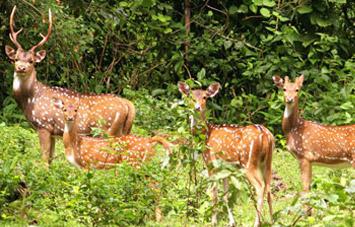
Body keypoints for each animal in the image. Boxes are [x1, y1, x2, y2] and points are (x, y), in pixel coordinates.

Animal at [5, 5, 136, 165]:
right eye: (16, 59)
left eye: (32, 61)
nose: (21, 68)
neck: (30, 99)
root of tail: (128, 105)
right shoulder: (54, 132)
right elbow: (50, 159)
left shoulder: (44, 125)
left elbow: (44, 159)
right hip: (123, 131)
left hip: (108, 130)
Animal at [178, 81, 276, 227]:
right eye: (190, 96)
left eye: (205, 97)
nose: (197, 107)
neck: (206, 135)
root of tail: (266, 135)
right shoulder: (225, 169)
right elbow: (225, 195)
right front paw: (231, 222)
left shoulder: (211, 163)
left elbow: (213, 193)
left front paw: (213, 221)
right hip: (268, 162)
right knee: (269, 187)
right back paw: (272, 220)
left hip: (248, 163)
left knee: (260, 187)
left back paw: (256, 222)